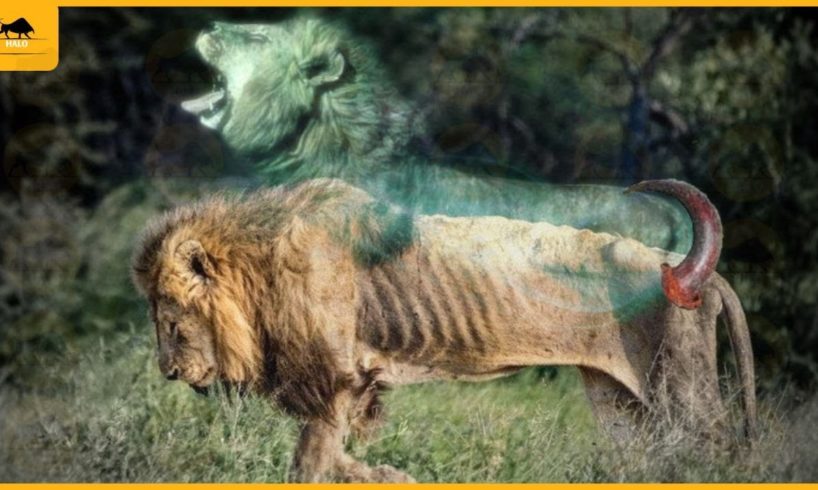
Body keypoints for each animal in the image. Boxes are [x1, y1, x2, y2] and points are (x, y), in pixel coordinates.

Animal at [132, 177, 755, 483]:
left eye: (171, 318)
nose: (168, 372)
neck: (258, 271)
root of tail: (682, 265)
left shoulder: (334, 381)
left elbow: (311, 463)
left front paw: (386, 476)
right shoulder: (352, 385)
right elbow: (329, 460)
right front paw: (388, 475)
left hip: (680, 387)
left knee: (716, 451)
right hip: (621, 403)